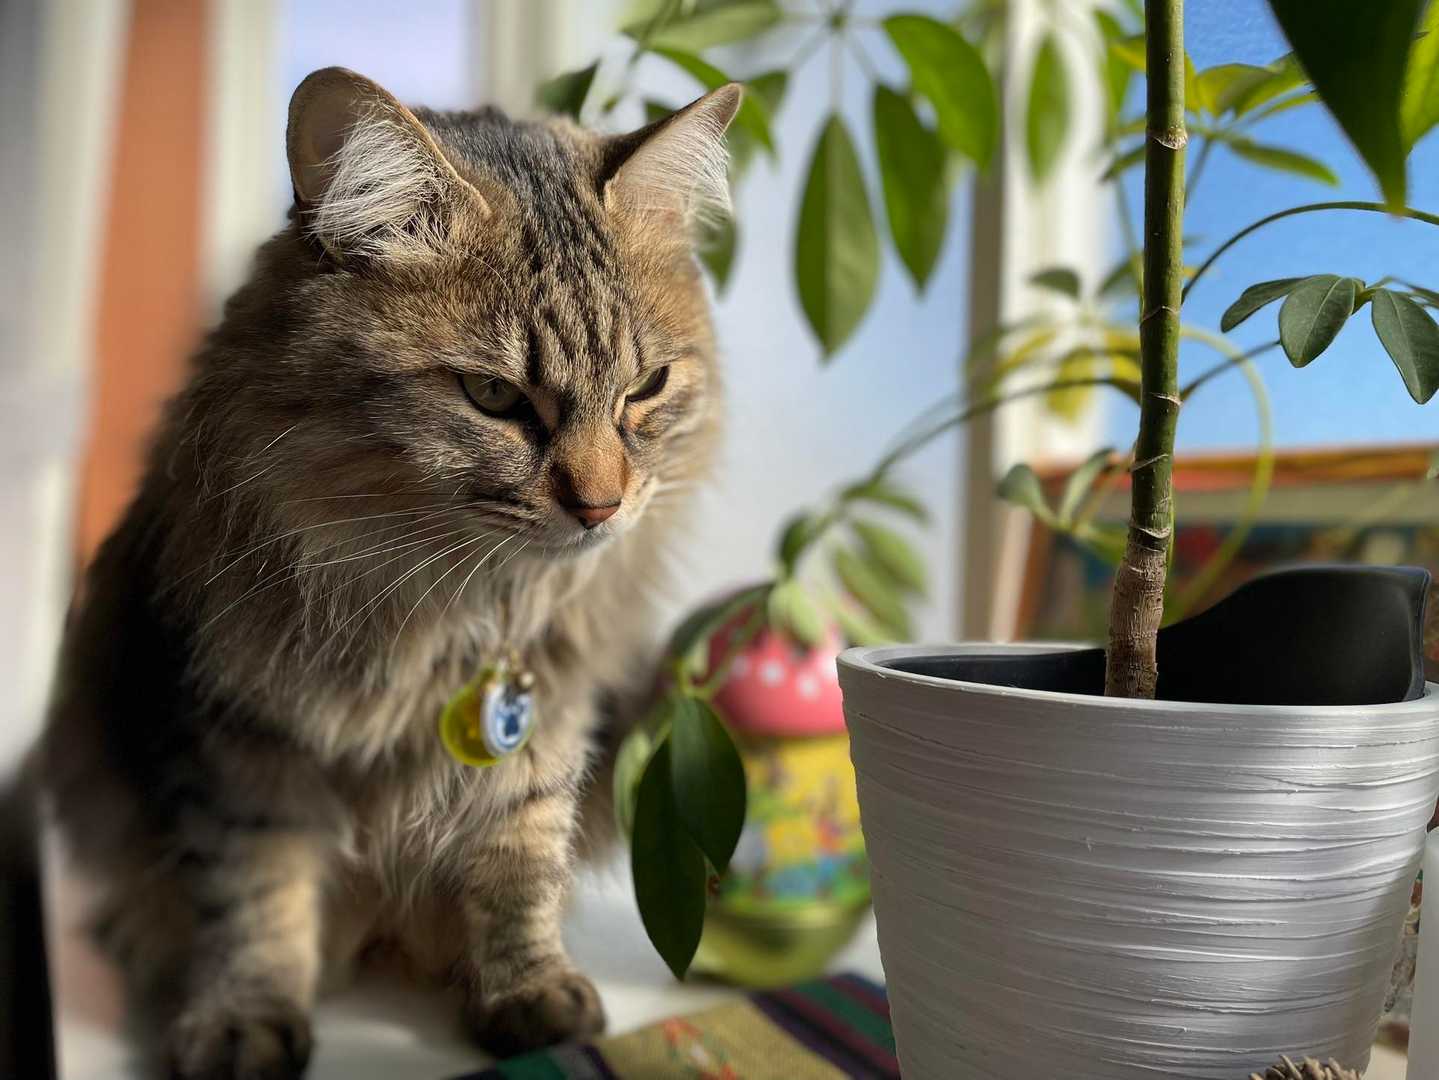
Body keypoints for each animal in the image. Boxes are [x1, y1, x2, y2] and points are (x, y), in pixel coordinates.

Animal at [41, 66, 739, 1078]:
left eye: (644, 389)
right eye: (493, 397)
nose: (601, 507)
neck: (456, 611)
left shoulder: (547, 727)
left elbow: (520, 867)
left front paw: (529, 994)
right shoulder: (235, 729)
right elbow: (254, 897)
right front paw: (245, 1021)